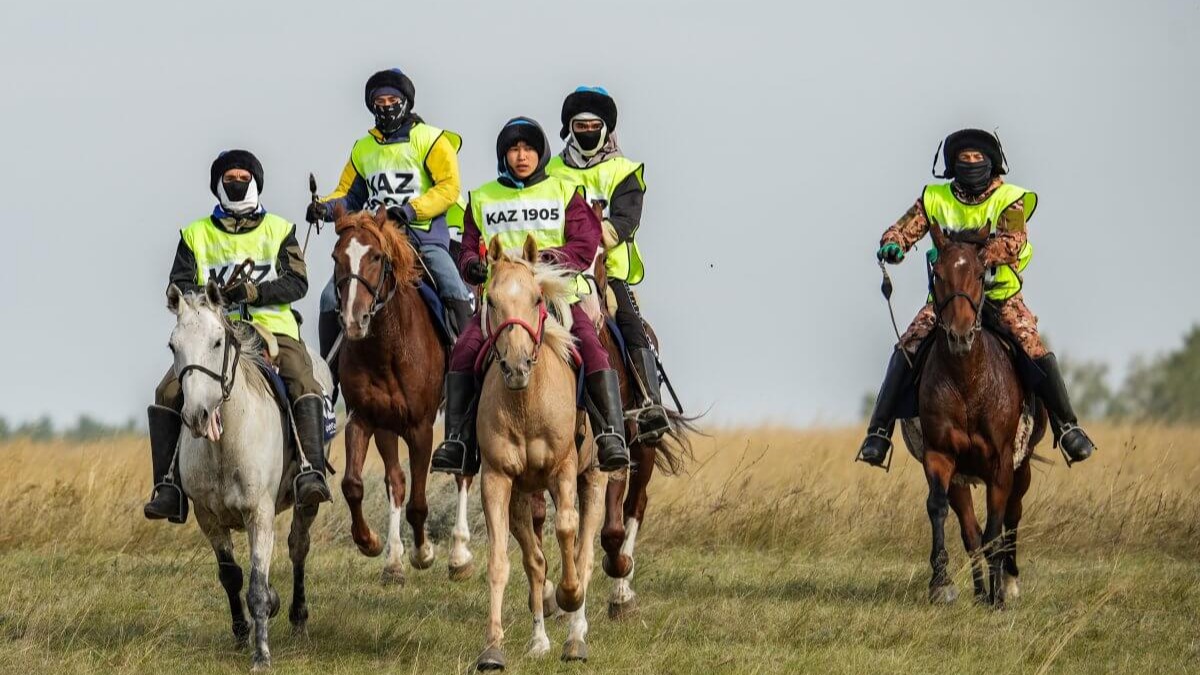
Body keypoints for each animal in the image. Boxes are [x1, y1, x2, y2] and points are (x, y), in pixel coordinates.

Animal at [165, 279, 333, 667]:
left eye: (217, 342)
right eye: (173, 345)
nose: (196, 415)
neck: (225, 447)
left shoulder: (260, 513)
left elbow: (256, 586)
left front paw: (261, 655)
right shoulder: (208, 518)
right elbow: (231, 577)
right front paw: (242, 634)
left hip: (305, 502)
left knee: (298, 547)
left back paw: (298, 619)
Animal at [333, 206, 477, 583]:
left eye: (376, 256)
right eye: (336, 257)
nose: (353, 321)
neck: (386, 348)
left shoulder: (420, 428)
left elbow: (418, 502)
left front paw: (424, 553)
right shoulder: (364, 419)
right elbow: (356, 485)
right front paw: (372, 544)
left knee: (463, 473)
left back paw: (459, 556)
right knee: (395, 482)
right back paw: (394, 558)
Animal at [472, 236, 609, 667]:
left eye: (536, 298)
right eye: (492, 300)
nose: (516, 367)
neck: (526, 403)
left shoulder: (563, 469)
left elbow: (566, 531)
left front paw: (569, 596)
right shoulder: (496, 479)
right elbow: (500, 561)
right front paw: (492, 647)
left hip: (594, 479)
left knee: (583, 553)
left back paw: (575, 637)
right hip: (520, 494)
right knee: (535, 562)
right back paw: (540, 641)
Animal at [912, 219, 1046, 605]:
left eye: (977, 273)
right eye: (938, 274)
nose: (959, 336)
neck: (968, 382)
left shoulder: (1001, 463)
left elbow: (995, 529)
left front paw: (999, 596)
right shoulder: (941, 457)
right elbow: (942, 512)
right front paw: (942, 583)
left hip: (1022, 466)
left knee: (1012, 517)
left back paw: (1008, 582)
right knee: (971, 531)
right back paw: (979, 590)